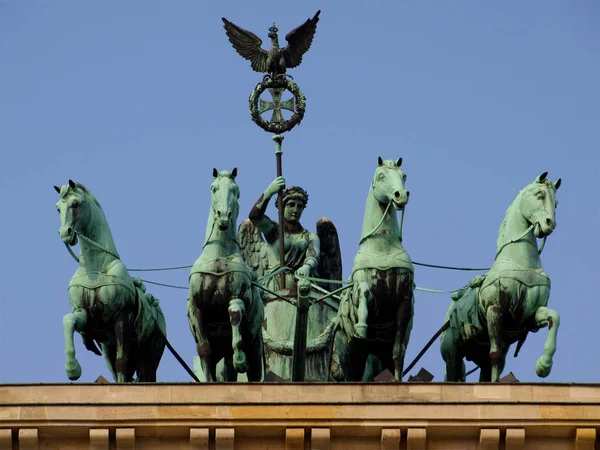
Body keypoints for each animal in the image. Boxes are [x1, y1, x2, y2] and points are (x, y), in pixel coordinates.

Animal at [54, 180, 166, 384]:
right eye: (58, 208)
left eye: (75, 204)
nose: (65, 234)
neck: (97, 267)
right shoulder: (84, 314)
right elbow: (68, 320)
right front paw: (72, 368)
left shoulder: (121, 317)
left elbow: (122, 361)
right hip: (108, 349)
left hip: (150, 354)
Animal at [186, 169, 264, 384]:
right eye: (214, 189)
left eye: (236, 191)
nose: (223, 216)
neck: (218, 256)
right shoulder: (197, 308)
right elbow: (205, 350)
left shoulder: (237, 295)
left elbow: (235, 314)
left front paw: (240, 359)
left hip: (255, 346)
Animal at [332, 156, 412, 382]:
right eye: (381, 176)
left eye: (403, 175)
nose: (401, 195)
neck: (382, 248)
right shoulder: (361, 286)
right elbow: (365, 291)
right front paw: (361, 325)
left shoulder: (404, 301)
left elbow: (398, 352)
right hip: (348, 356)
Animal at [440, 171, 564, 382]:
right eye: (539, 195)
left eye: (555, 203)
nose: (550, 224)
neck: (519, 262)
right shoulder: (495, 310)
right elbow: (495, 355)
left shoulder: (528, 316)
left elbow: (554, 317)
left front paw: (544, 365)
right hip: (452, 351)